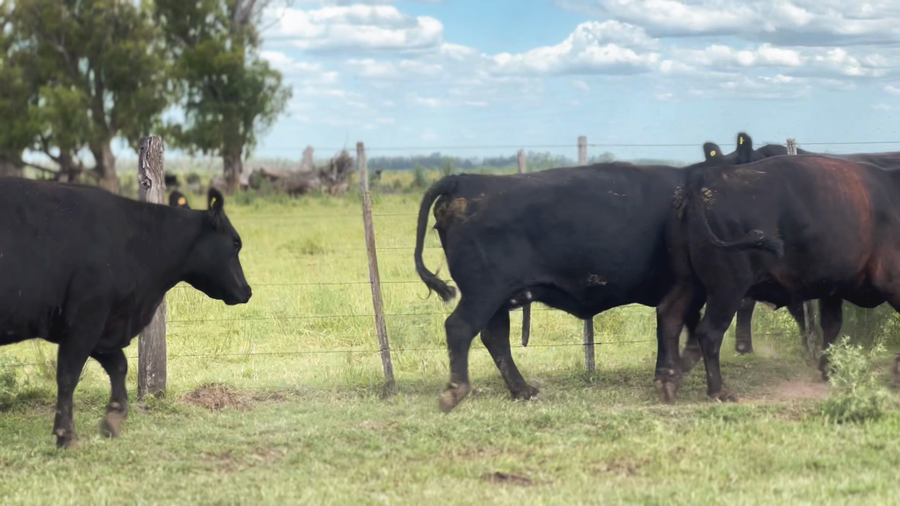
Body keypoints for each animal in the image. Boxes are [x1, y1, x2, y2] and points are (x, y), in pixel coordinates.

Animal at [0, 179, 251, 448]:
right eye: (236, 243)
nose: (247, 290)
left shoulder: (105, 324)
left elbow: (118, 365)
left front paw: (113, 417)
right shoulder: (86, 319)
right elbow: (68, 375)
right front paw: (66, 435)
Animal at [655, 151, 900, 404]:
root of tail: (699, 182)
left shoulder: (832, 287)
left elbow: (831, 325)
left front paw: (827, 370)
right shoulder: (892, 279)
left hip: (688, 280)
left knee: (669, 315)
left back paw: (668, 380)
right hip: (728, 286)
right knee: (709, 333)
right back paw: (718, 390)